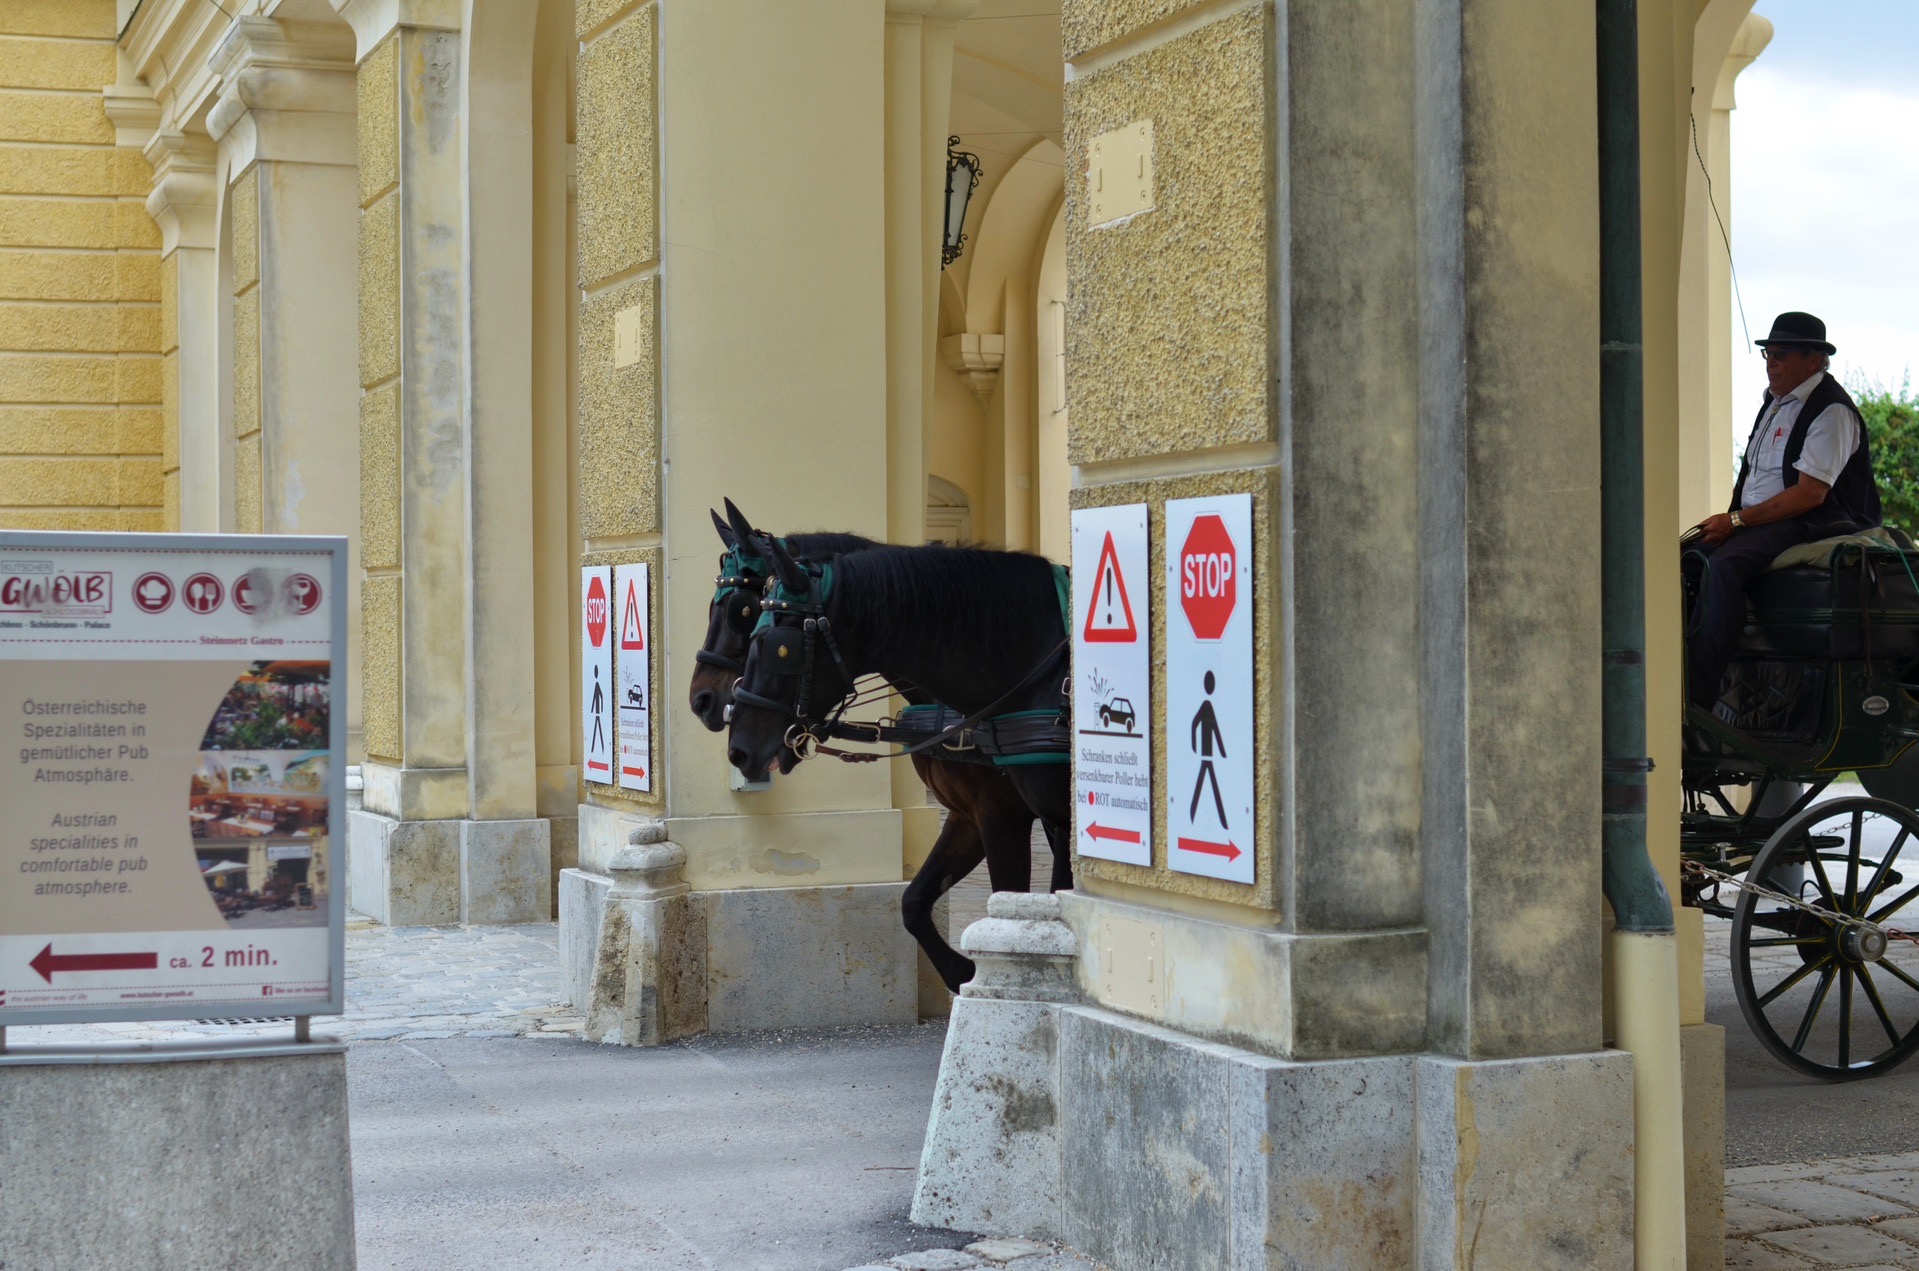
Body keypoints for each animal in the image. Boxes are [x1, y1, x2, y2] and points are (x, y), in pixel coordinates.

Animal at [687, 506, 1066, 998]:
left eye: (742, 611)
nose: (702, 701)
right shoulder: (968, 816)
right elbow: (913, 903)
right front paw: (962, 972)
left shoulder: (1004, 816)